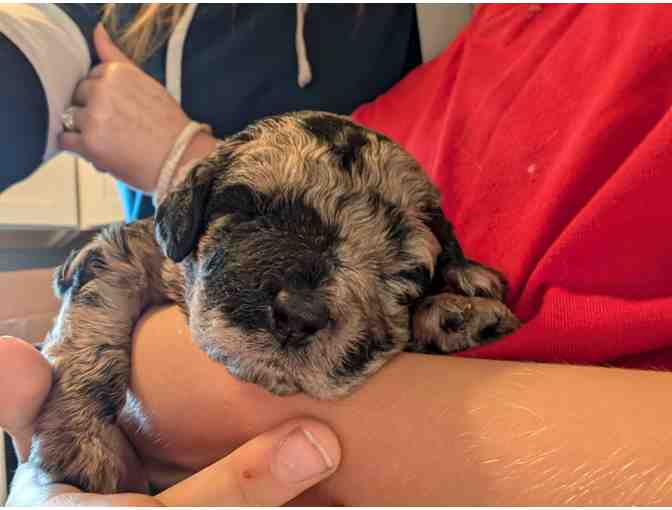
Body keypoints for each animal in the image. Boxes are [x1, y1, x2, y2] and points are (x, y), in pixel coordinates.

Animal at [26, 111, 520, 494]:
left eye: (401, 271)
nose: (297, 316)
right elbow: (93, 323)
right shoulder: (129, 251)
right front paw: (79, 437)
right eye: (250, 211)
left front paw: (460, 307)